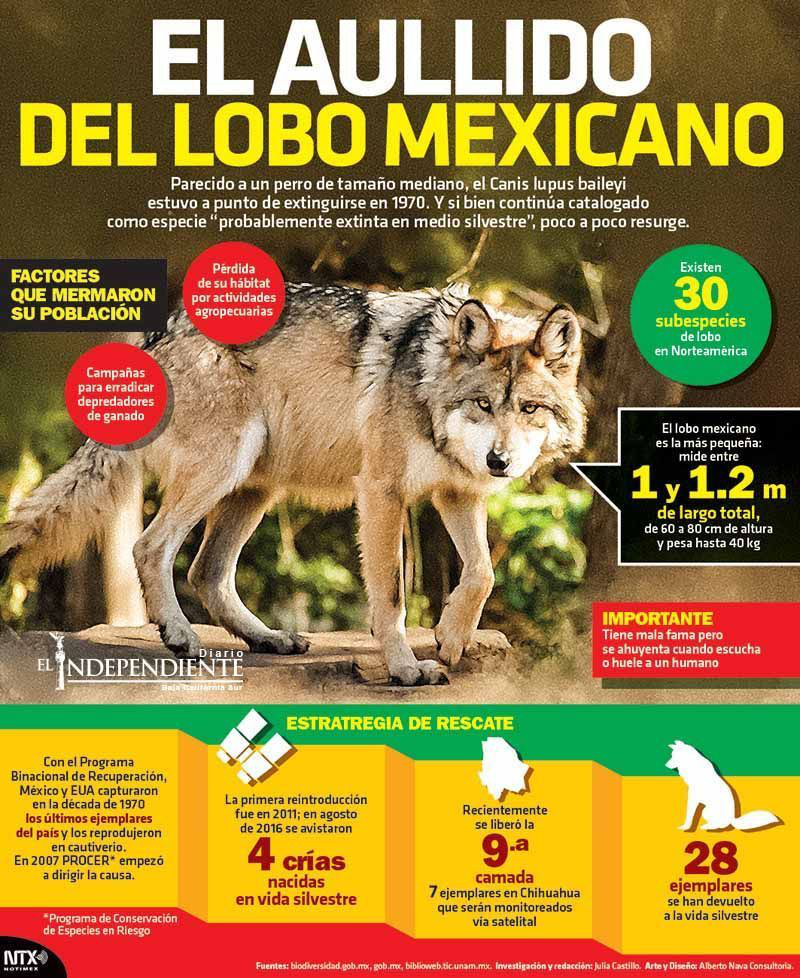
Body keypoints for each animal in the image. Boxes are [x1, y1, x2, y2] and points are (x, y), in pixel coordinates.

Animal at [0, 282, 585, 685]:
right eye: (483, 404)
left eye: (529, 408)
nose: (498, 461)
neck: (427, 381)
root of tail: (153, 336)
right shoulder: (382, 492)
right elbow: (391, 595)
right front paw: (404, 669)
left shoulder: (457, 492)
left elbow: (483, 573)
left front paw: (451, 637)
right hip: (223, 470)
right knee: (151, 547)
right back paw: (181, 637)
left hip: (256, 487)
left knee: (206, 571)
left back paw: (268, 639)